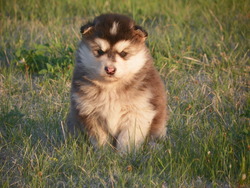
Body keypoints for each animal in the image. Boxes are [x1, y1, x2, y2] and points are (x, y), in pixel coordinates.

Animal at [66, 13, 168, 153]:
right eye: (100, 51)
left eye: (123, 53)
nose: (110, 69)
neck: (111, 87)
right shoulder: (90, 112)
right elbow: (100, 138)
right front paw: (103, 153)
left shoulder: (138, 112)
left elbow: (127, 138)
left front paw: (124, 154)